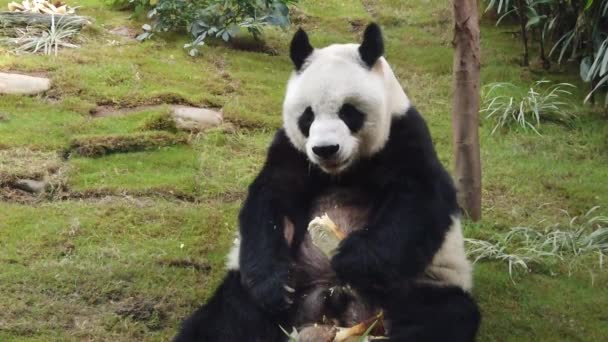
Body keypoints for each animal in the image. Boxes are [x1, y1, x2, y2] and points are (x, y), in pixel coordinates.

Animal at [175, 24, 480, 342]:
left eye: (348, 112)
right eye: (307, 115)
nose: (325, 149)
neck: (342, 170)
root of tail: (329, 310)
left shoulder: (403, 134)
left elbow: (418, 200)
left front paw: (350, 259)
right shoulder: (292, 149)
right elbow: (270, 201)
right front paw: (276, 286)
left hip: (421, 287)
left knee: (441, 317)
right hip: (260, 291)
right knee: (226, 319)